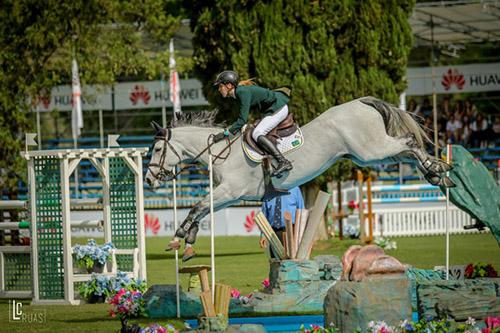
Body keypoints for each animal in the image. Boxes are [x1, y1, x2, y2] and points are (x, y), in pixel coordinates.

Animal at [145, 96, 454, 260]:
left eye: (157, 149)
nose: (149, 181)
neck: (221, 151)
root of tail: (362, 102)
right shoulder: (231, 195)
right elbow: (201, 209)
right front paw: (187, 241)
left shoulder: (231, 191)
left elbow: (198, 206)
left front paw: (180, 236)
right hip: (367, 155)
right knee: (407, 151)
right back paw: (436, 172)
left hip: (371, 149)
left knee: (409, 142)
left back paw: (438, 170)